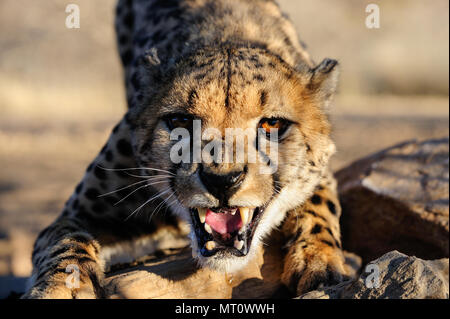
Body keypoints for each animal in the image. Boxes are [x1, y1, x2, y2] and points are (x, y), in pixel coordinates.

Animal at [23, 0, 348, 300]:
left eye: (272, 124)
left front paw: (319, 261)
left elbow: (320, 205)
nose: (222, 180)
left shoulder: (323, 169)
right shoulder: (81, 212)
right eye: (180, 121)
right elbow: (64, 239)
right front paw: (59, 288)